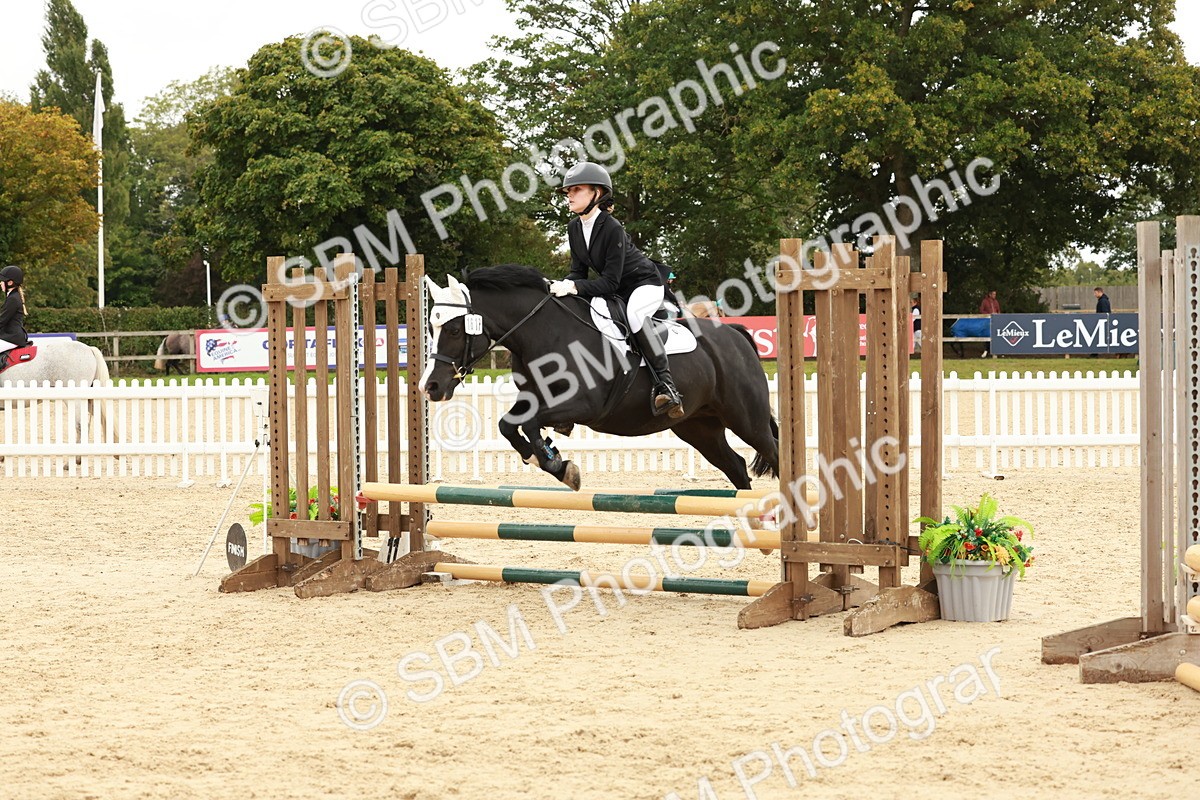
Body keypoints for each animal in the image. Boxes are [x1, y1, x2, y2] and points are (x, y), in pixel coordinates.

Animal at [420, 266, 779, 491]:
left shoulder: (585, 406)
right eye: (431, 328)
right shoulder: (534, 400)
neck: (544, 332)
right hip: (699, 427)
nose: (431, 387)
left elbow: (532, 424)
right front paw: (547, 459)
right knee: (736, 467)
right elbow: (508, 425)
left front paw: (557, 464)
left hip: (747, 419)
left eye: (454, 330)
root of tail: (734, 335)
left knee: (774, 453)